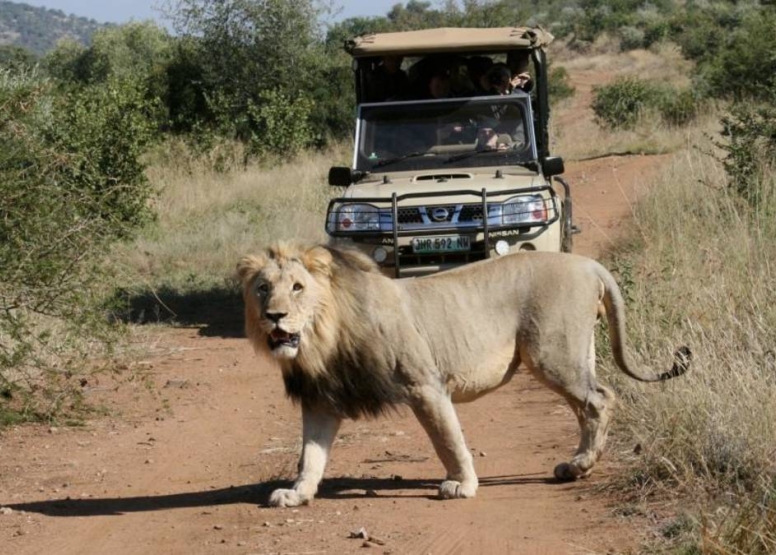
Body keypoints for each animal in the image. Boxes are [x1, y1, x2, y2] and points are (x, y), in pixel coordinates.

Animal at [236, 243, 692, 508]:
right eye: (263, 288)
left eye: (297, 287)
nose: (274, 316)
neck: (322, 339)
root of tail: (589, 264)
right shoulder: (321, 400)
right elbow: (310, 454)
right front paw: (297, 493)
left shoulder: (424, 384)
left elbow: (447, 440)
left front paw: (462, 484)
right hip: (575, 353)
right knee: (588, 406)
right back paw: (577, 466)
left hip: (552, 354)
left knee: (600, 399)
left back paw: (581, 465)